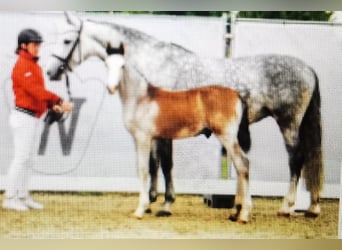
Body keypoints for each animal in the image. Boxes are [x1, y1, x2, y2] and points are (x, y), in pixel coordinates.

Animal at [46, 12, 324, 220]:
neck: (152, 61)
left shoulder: (160, 133)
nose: (51, 72)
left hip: (287, 123)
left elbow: (164, 165)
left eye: (67, 40)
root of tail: (308, 69)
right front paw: (151, 201)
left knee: (295, 160)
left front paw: (164, 204)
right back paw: (305, 207)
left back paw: (286, 206)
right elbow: (154, 165)